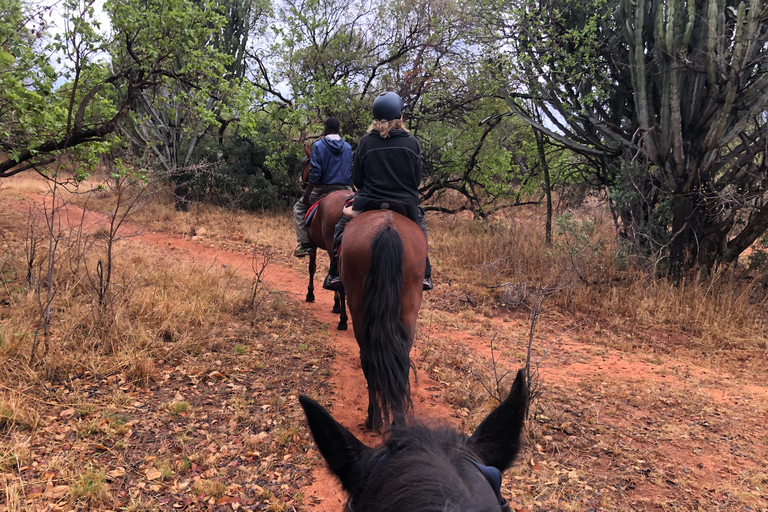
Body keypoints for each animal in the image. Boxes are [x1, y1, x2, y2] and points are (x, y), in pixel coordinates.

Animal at [298, 148, 350, 332]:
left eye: (306, 163)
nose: (302, 183)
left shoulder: (313, 245)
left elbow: (311, 268)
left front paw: (310, 294)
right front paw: (336, 304)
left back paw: (343, 320)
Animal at [340, 210, 428, 430]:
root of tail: (387, 228)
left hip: (359, 311)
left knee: (368, 360)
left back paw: (374, 418)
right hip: (408, 310)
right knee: (400, 361)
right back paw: (398, 422)